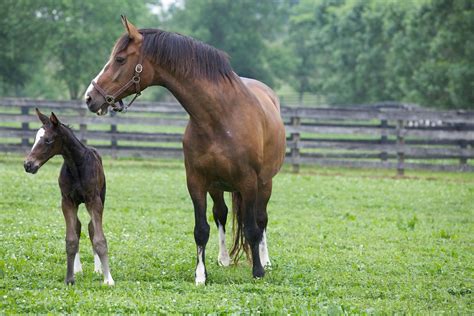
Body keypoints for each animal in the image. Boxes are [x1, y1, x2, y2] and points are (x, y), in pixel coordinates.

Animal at [25, 108, 115, 286]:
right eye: (36, 138)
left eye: (48, 140)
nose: (28, 165)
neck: (76, 166)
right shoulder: (67, 201)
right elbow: (71, 238)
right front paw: (70, 278)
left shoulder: (94, 201)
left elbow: (99, 238)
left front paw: (108, 279)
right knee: (79, 227)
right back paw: (78, 269)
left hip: (100, 197)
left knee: (91, 227)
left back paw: (98, 269)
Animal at [84, 16, 286, 284]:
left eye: (120, 59)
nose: (90, 98)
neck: (221, 117)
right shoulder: (197, 182)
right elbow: (201, 229)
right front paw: (201, 275)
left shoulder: (249, 182)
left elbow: (252, 228)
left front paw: (258, 271)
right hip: (217, 186)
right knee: (221, 214)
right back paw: (224, 259)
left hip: (265, 183)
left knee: (261, 219)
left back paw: (265, 259)